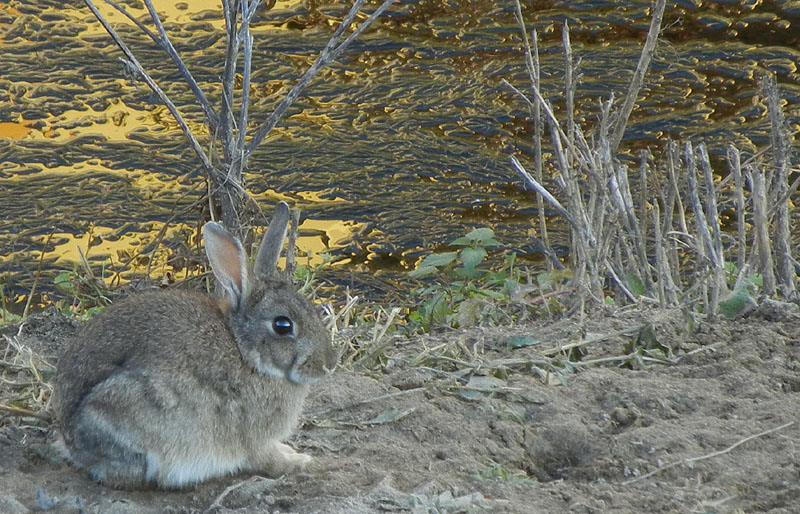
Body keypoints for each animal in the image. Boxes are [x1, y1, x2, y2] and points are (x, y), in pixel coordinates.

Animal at [50, 201, 338, 488]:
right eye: (282, 325)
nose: (329, 364)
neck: (245, 351)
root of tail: (69, 437)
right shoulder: (253, 437)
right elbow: (266, 460)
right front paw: (298, 462)